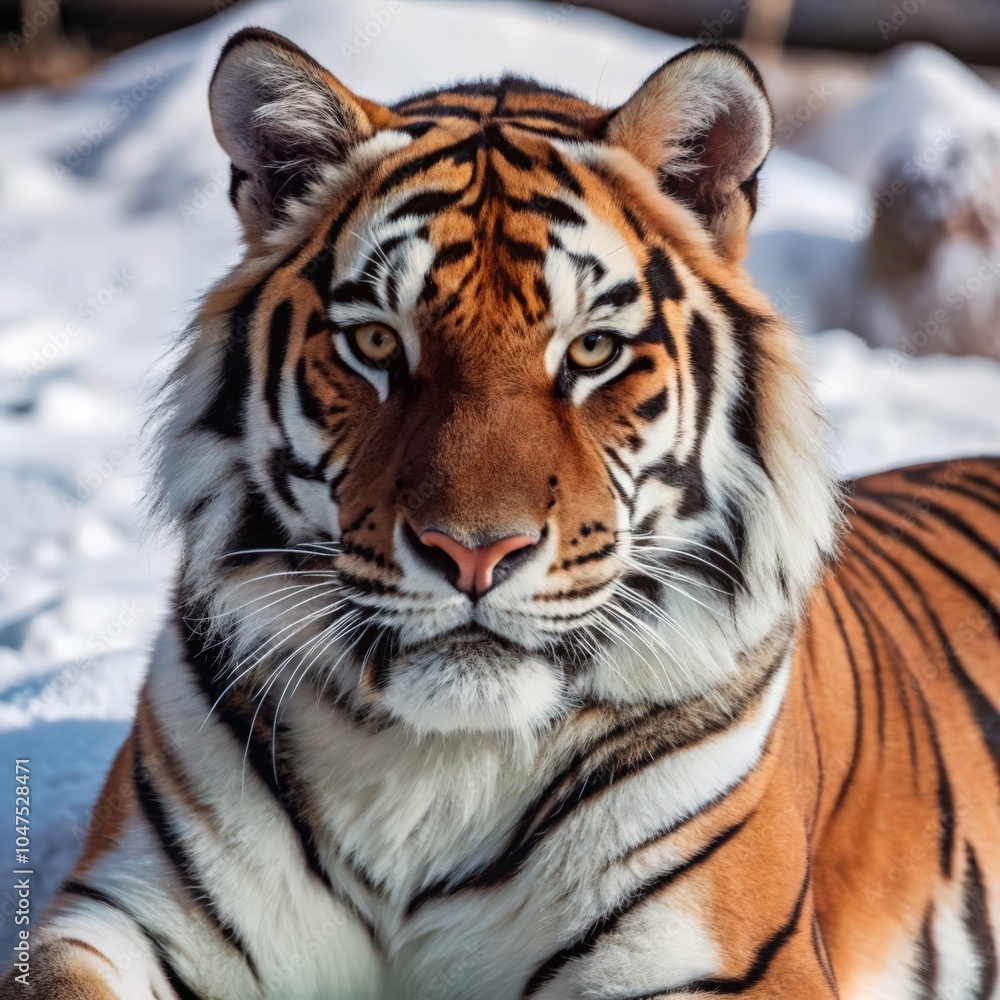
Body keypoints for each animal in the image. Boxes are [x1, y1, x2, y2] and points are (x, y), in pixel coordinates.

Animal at [4, 25, 1000, 1000]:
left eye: (592, 350)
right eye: (377, 342)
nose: (474, 553)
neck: (432, 768)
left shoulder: (723, 960)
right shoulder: (123, 915)